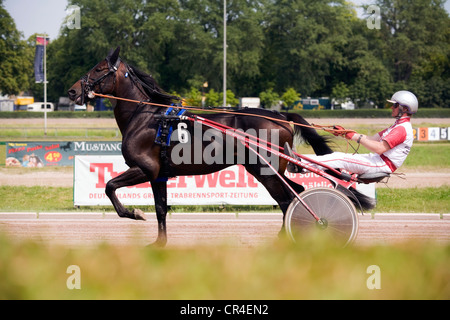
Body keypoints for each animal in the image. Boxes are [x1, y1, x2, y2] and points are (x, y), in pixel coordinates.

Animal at [67, 47, 358, 246]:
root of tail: (281, 115)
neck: (149, 117)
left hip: (264, 169)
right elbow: (160, 209)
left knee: (289, 200)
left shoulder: (145, 169)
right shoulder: (159, 175)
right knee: (294, 194)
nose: (72, 91)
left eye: (98, 68)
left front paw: (134, 213)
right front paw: (159, 243)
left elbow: (109, 186)